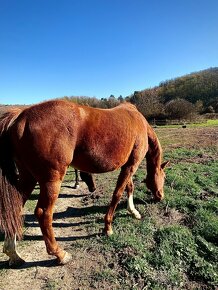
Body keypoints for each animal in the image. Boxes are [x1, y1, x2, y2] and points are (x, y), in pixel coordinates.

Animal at [0, 100, 169, 268]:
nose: (160, 196)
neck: (139, 122)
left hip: (28, 177)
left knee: (15, 209)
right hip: (51, 181)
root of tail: (21, 117)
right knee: (43, 213)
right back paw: (60, 254)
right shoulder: (131, 166)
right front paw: (108, 227)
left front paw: (133, 211)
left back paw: (13, 254)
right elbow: (117, 193)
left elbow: (129, 187)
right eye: (164, 176)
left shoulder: (127, 166)